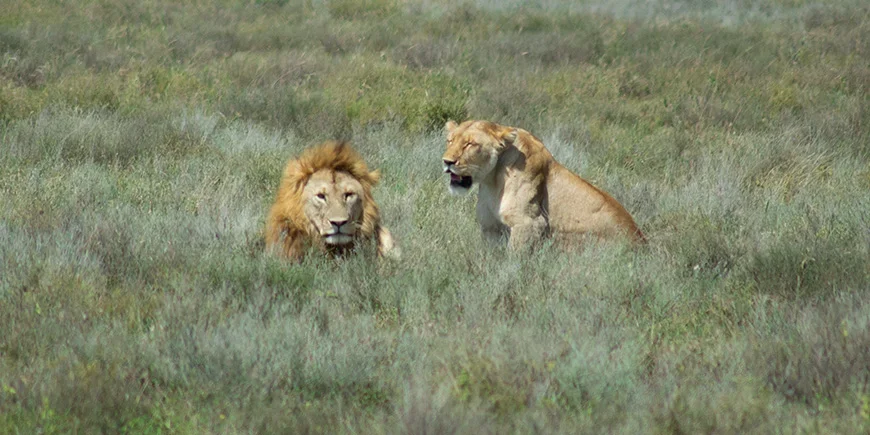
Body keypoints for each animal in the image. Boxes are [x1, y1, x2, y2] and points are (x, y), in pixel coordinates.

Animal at [441, 120, 645, 251]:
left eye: (470, 144)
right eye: (450, 141)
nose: (447, 162)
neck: (492, 179)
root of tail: (643, 244)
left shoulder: (529, 223)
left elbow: (513, 260)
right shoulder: (490, 227)